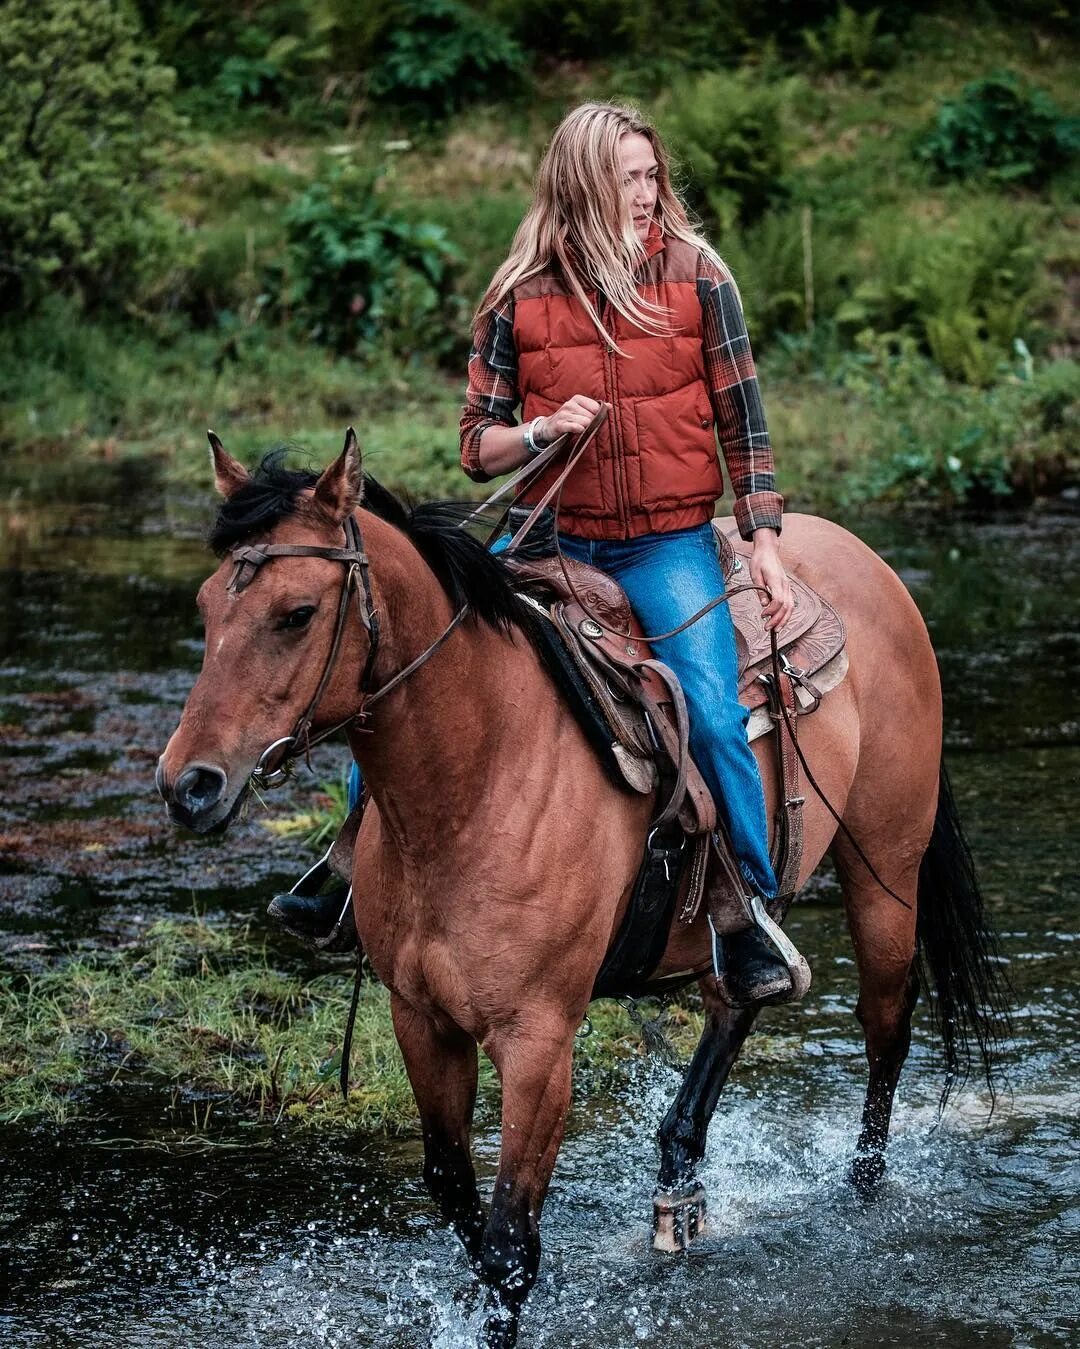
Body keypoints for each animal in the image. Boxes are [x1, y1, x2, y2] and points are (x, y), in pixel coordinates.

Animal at [157, 437, 1003, 1343]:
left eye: (297, 612)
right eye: (204, 606)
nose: (188, 785)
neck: (479, 775)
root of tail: (869, 564)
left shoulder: (539, 1039)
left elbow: (508, 1238)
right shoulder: (420, 1016)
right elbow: (456, 1192)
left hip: (886, 867)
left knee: (885, 1030)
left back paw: (861, 1194)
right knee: (736, 996)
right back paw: (680, 1187)